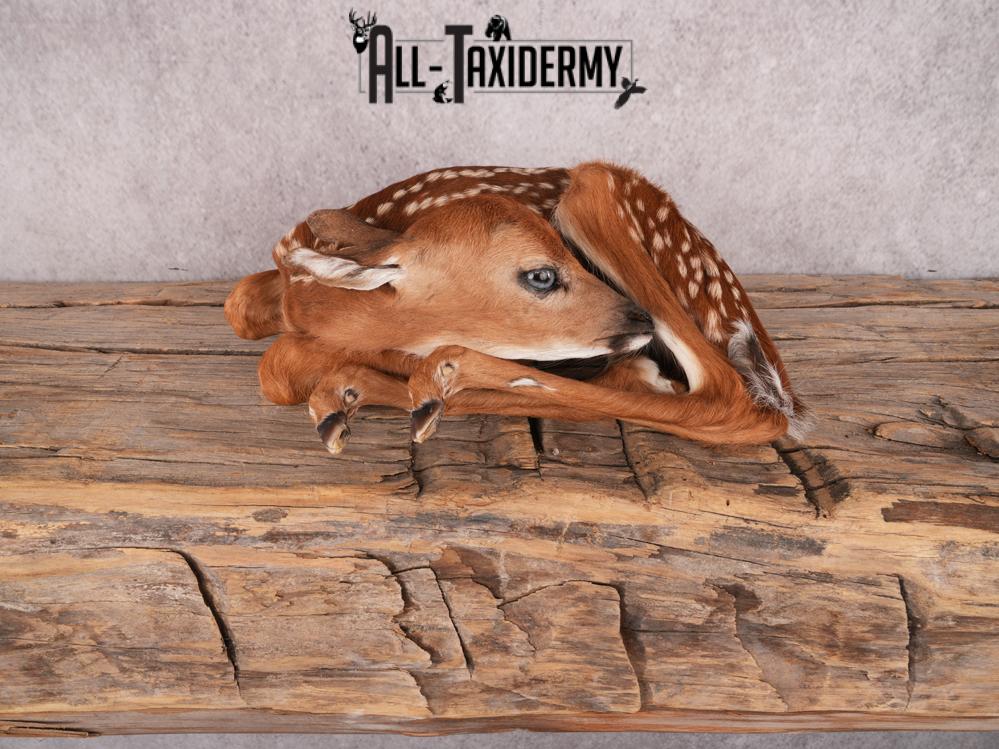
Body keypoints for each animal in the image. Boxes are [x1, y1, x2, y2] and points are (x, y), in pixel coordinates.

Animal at [225, 163, 809, 455]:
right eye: (541, 275)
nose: (639, 319)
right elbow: (242, 312)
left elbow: (277, 364)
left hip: (595, 188)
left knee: (732, 400)